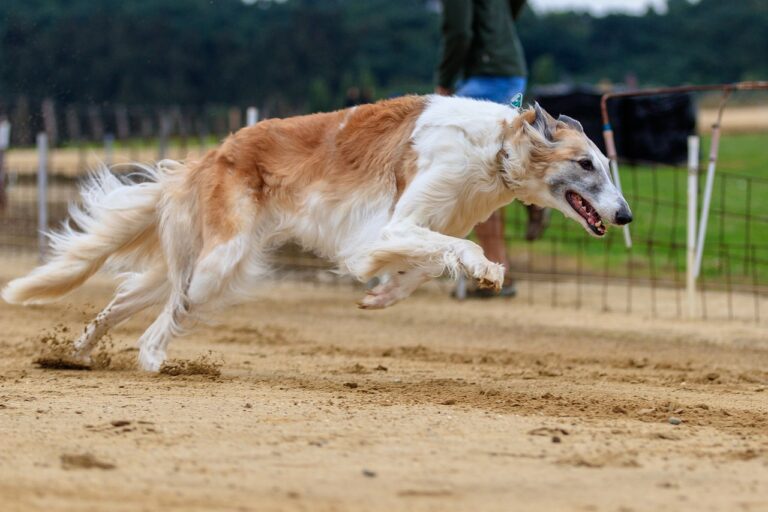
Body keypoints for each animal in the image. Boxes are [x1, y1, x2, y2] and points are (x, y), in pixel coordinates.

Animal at [3, 96, 632, 370]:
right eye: (586, 164)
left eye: (607, 165)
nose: (626, 215)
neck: (495, 148)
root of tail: (212, 154)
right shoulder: (389, 229)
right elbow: (459, 251)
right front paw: (486, 269)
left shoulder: (410, 230)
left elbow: (424, 266)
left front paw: (381, 296)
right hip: (217, 265)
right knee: (165, 319)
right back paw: (154, 361)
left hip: (196, 262)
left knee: (122, 301)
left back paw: (75, 354)